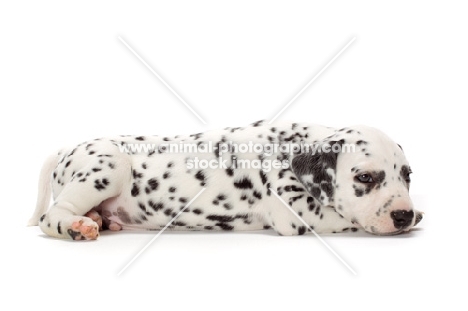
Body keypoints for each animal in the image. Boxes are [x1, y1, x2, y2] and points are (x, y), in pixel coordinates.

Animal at [29, 120, 424, 241]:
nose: (404, 215)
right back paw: (78, 225)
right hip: (108, 166)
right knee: (53, 216)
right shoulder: (299, 213)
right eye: (365, 177)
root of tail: (65, 149)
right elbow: (348, 220)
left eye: (407, 176)